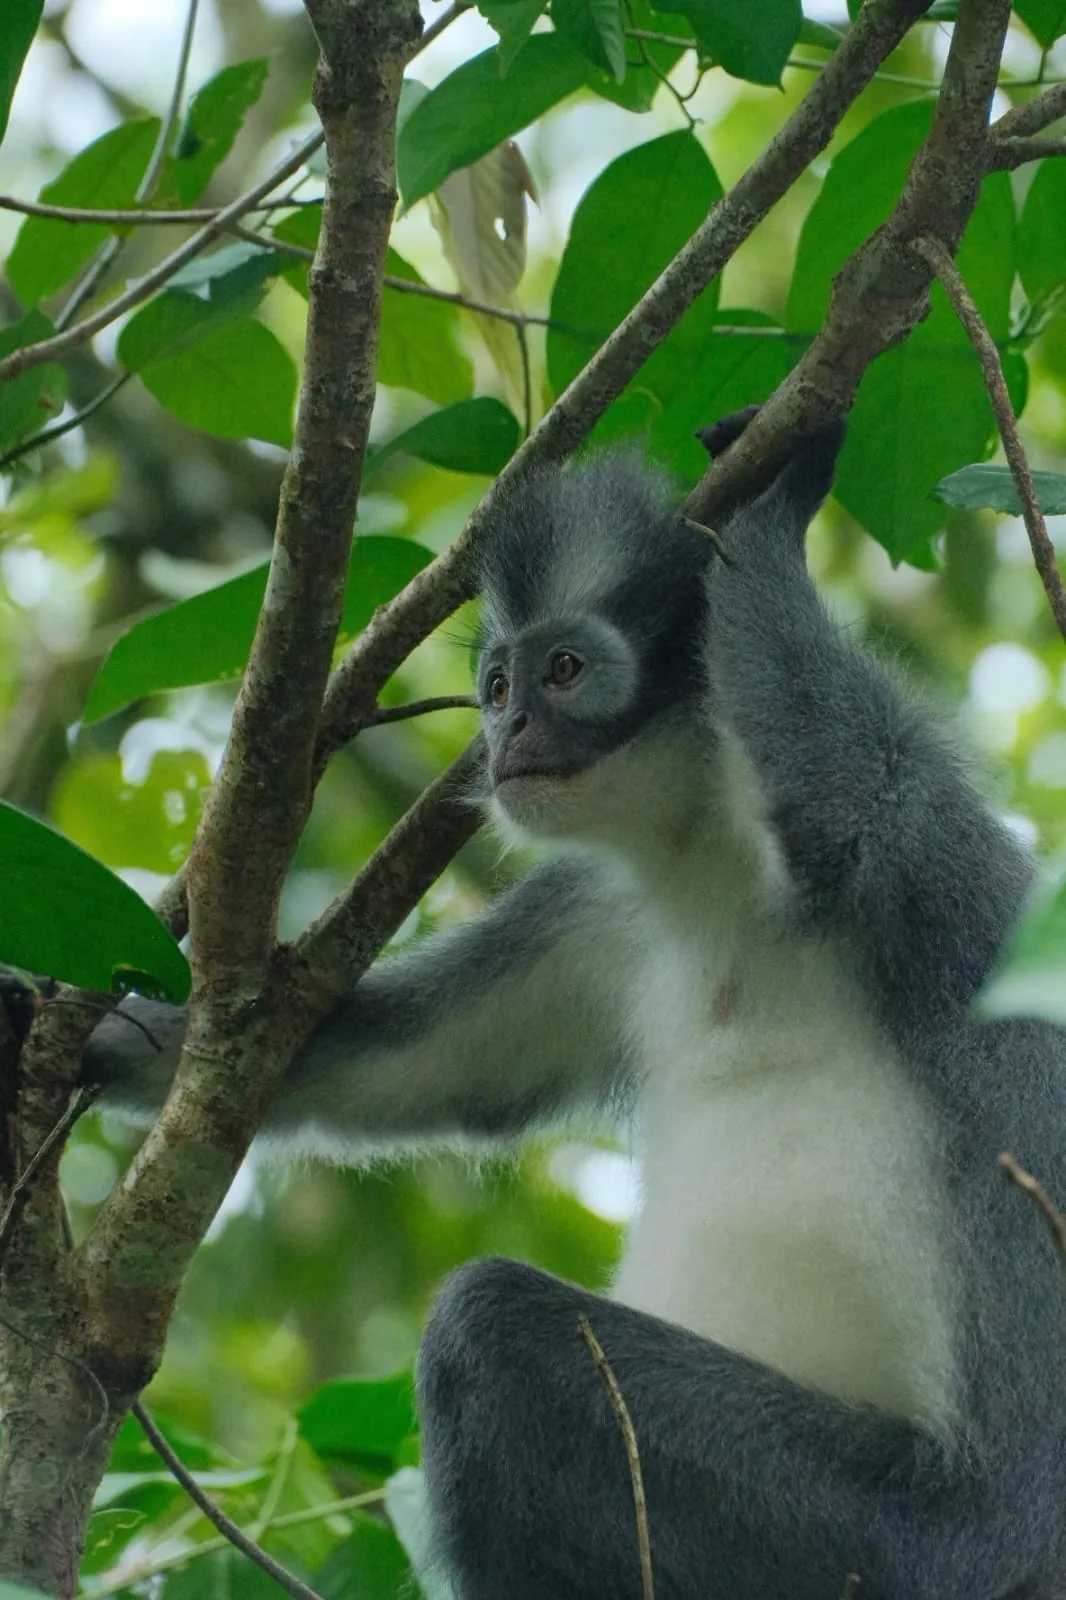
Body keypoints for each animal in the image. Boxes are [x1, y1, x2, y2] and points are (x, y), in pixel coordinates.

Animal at [85, 408, 1066, 1599]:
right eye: (499, 686)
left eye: (564, 671)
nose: (503, 737)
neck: (711, 848)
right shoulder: (599, 912)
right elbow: (410, 1065)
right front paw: (89, 1032)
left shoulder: (920, 827)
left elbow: (844, 797)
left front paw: (771, 503)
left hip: (910, 1547)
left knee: (488, 1329)